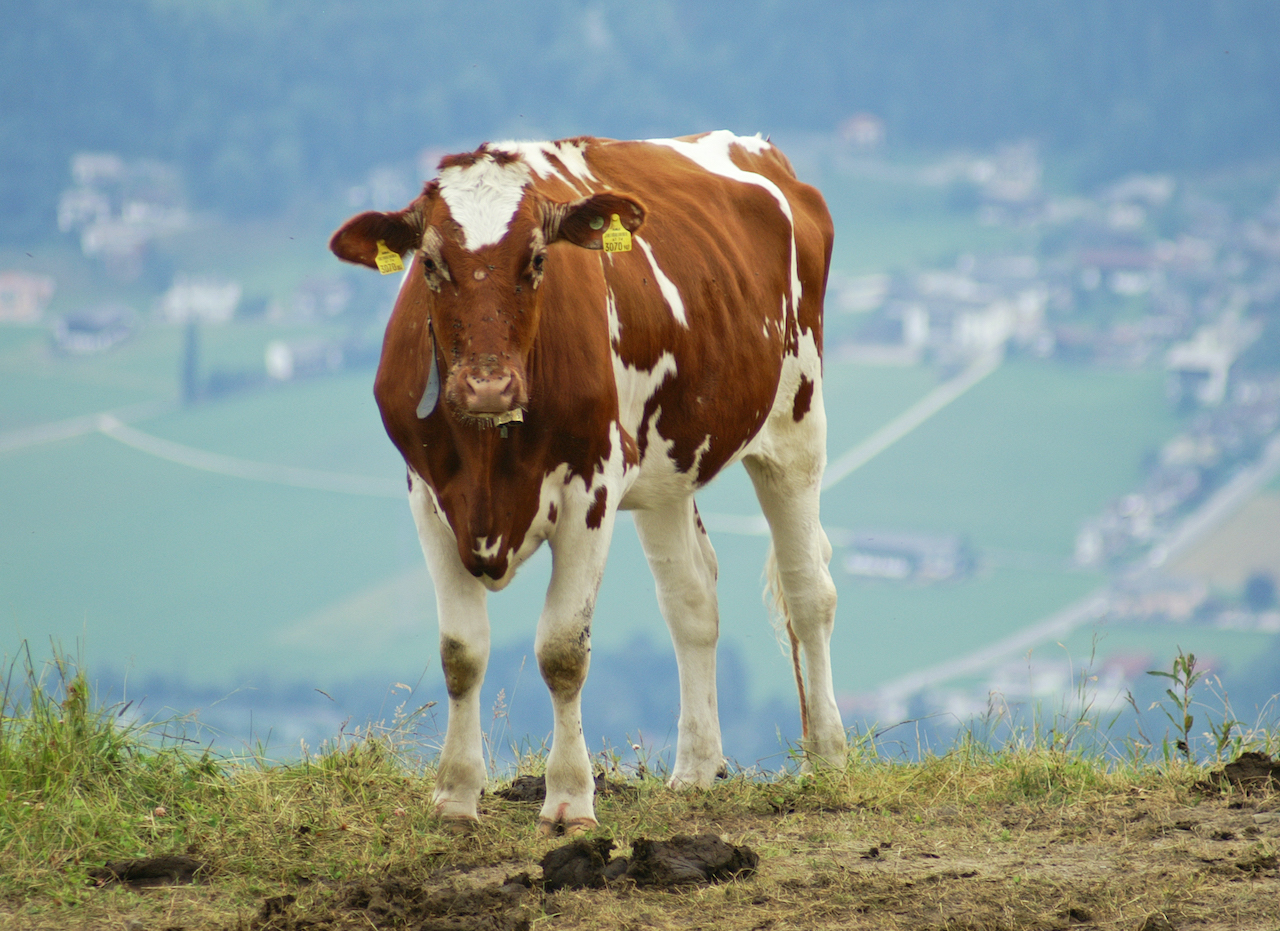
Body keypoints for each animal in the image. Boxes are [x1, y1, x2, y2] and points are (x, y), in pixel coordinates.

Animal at [335, 129, 844, 829]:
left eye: (537, 260)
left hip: (797, 423)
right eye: (431, 264)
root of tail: (757, 148)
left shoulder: (591, 489)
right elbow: (461, 653)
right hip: (666, 465)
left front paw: (570, 799)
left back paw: (828, 758)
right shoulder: (429, 495)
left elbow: (562, 652)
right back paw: (695, 769)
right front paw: (456, 797)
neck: (492, 456)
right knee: (692, 602)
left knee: (806, 592)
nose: (488, 385)